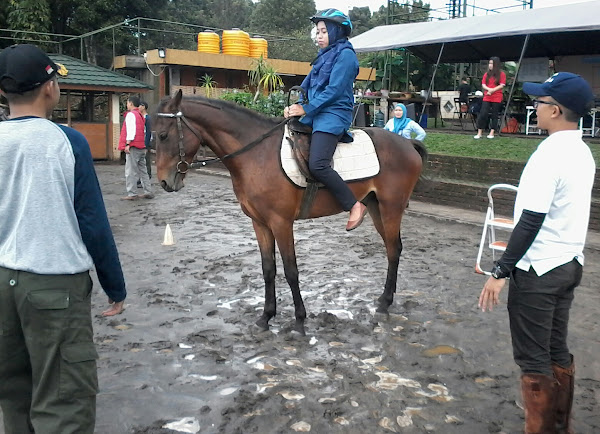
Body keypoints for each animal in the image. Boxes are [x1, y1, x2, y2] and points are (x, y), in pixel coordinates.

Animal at [154, 90, 426, 336]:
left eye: (163, 135)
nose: (165, 182)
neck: (256, 153)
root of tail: (407, 143)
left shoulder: (281, 223)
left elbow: (290, 270)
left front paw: (299, 320)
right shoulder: (260, 223)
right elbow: (268, 269)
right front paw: (266, 316)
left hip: (391, 208)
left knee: (393, 250)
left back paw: (385, 303)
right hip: (375, 207)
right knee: (392, 248)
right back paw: (383, 300)